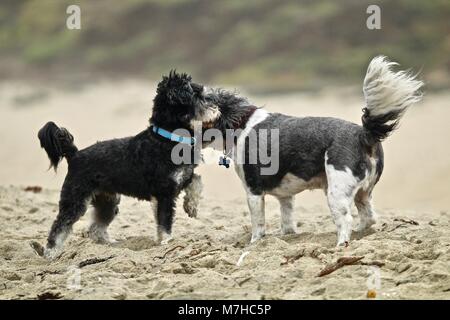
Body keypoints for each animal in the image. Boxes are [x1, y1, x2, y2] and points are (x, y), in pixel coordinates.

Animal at [37, 71, 221, 258]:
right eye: (197, 96)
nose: (217, 107)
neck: (167, 139)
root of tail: (75, 154)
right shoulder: (164, 193)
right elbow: (165, 221)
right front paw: (166, 242)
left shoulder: (183, 178)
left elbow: (197, 181)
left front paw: (191, 206)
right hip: (75, 200)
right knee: (60, 225)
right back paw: (51, 252)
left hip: (108, 200)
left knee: (95, 228)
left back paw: (110, 244)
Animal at [207, 56, 422, 245]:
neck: (242, 124)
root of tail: (363, 134)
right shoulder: (285, 196)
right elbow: (287, 221)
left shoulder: (254, 191)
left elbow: (258, 226)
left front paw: (254, 244)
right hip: (362, 193)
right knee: (369, 217)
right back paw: (359, 234)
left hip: (336, 192)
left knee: (346, 220)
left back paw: (341, 245)